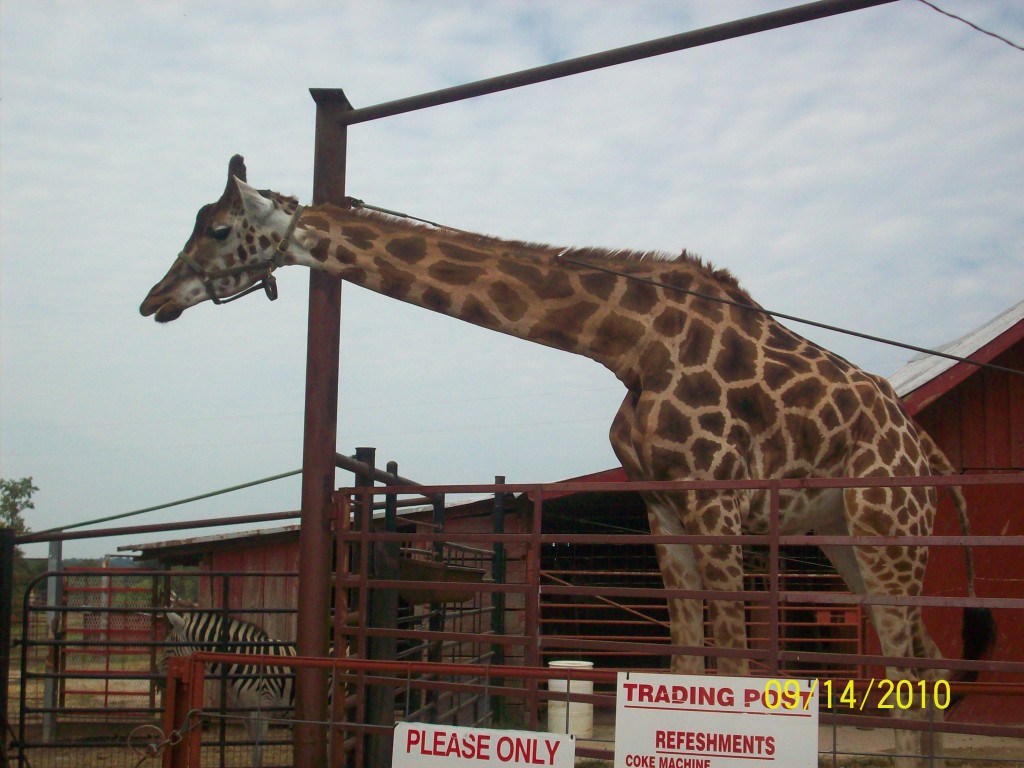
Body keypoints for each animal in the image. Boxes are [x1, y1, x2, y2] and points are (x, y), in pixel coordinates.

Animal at [157, 606, 296, 768]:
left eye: (168, 649)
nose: (159, 682)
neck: (244, 661)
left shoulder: (261, 710)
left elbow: (258, 752)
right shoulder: (245, 712)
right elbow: (254, 752)